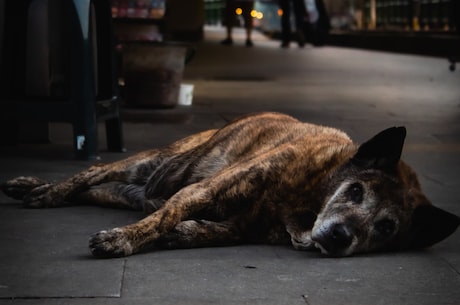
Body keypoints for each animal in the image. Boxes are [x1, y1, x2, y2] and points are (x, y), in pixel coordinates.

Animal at [0, 112, 460, 256]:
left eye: (386, 227)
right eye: (356, 191)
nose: (341, 236)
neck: (306, 197)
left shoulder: (245, 226)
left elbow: (224, 233)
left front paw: (189, 233)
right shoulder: (201, 190)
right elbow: (166, 216)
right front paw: (123, 240)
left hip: (127, 192)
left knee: (97, 190)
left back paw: (30, 186)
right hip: (151, 163)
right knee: (89, 175)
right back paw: (41, 190)